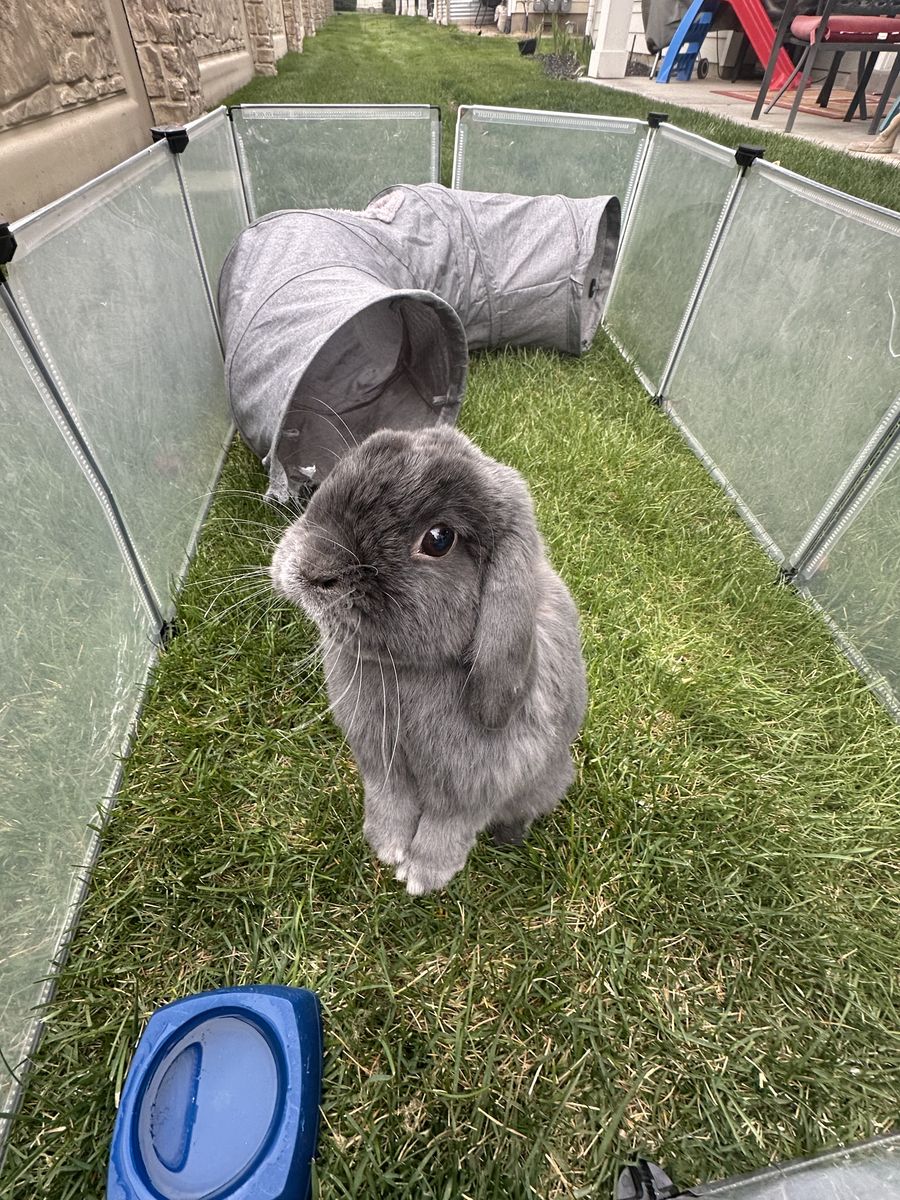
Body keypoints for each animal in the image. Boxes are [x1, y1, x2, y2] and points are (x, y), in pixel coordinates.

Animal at [270, 426, 587, 895]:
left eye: (439, 539)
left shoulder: (470, 789)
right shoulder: (381, 764)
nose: (312, 569)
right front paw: (385, 848)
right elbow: (389, 804)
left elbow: (446, 829)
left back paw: (510, 836)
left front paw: (422, 876)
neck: (404, 671)